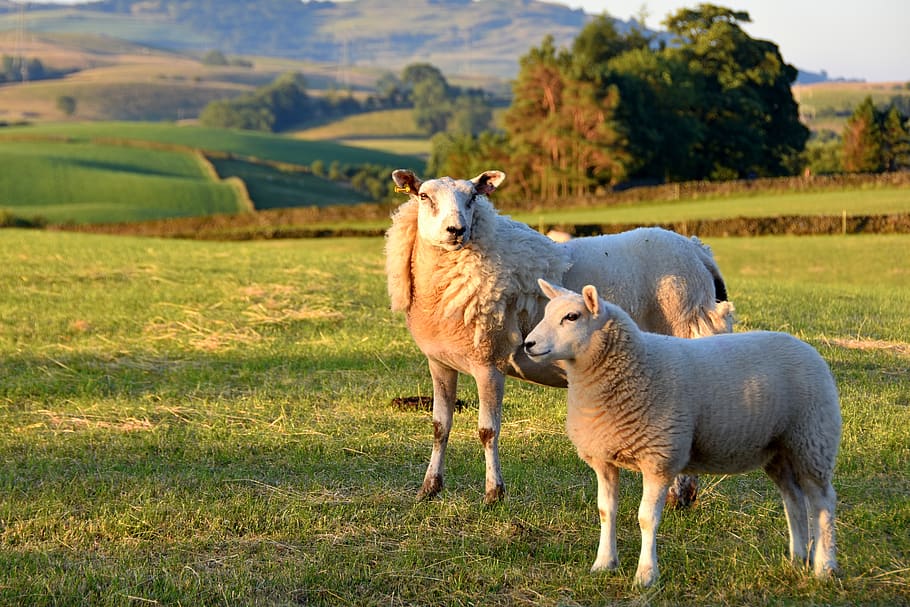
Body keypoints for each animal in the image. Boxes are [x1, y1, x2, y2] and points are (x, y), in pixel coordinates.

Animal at [385, 168, 735, 505]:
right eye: (424, 196)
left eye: (473, 197)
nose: (456, 230)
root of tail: (698, 249)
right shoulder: (439, 362)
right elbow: (439, 427)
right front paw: (429, 489)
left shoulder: (490, 362)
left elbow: (488, 431)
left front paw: (494, 494)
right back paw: (682, 495)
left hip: (687, 327)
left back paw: (682, 493)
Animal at [523, 279, 841, 587]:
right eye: (546, 313)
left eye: (572, 317)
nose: (528, 344)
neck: (636, 366)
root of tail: (804, 346)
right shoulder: (604, 458)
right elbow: (605, 511)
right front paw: (604, 564)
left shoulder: (660, 458)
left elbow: (646, 518)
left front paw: (646, 575)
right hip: (778, 448)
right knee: (794, 499)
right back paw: (797, 559)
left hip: (813, 437)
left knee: (822, 503)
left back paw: (823, 567)